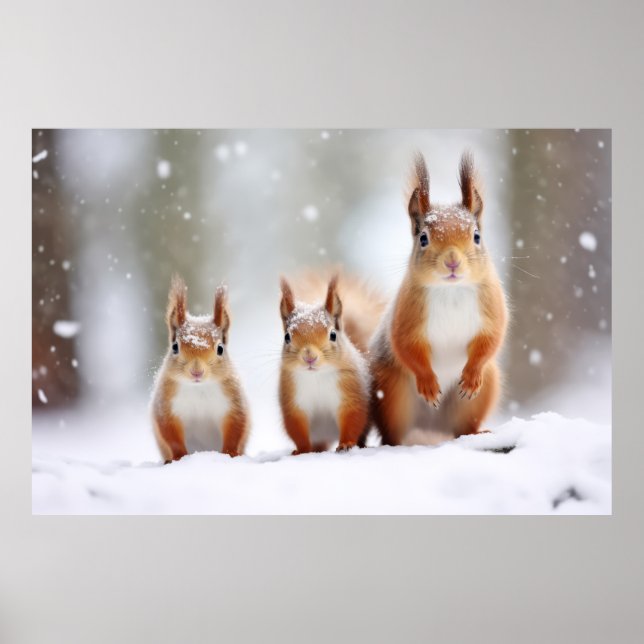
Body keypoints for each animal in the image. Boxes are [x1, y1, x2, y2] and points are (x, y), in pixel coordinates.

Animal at [151, 275, 249, 462]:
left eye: (220, 349)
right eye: (175, 347)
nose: (197, 372)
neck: (198, 388)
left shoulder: (233, 403)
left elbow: (236, 428)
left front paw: (230, 453)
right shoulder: (166, 405)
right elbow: (169, 433)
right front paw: (180, 457)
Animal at [278, 271, 384, 453]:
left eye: (333, 335)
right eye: (287, 337)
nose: (310, 357)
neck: (317, 376)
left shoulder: (351, 394)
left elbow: (352, 419)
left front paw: (346, 444)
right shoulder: (293, 402)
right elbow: (296, 429)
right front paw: (302, 450)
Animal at [369, 151, 508, 445]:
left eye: (476, 236)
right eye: (423, 238)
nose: (452, 261)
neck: (451, 291)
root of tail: (429, 434)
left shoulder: (492, 307)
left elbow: (491, 339)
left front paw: (472, 376)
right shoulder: (407, 314)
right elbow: (406, 346)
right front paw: (429, 384)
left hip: (479, 394)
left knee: (463, 426)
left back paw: (476, 432)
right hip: (393, 392)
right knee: (392, 432)